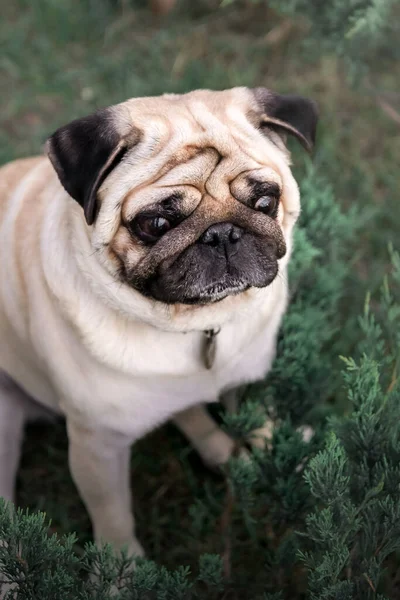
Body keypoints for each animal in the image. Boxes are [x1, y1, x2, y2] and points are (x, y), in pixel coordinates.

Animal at [0, 86, 318, 556]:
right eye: (156, 223)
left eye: (265, 202)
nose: (221, 233)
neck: (194, 327)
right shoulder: (98, 446)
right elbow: (114, 519)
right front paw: (122, 567)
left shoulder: (250, 376)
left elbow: (260, 417)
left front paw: (275, 453)